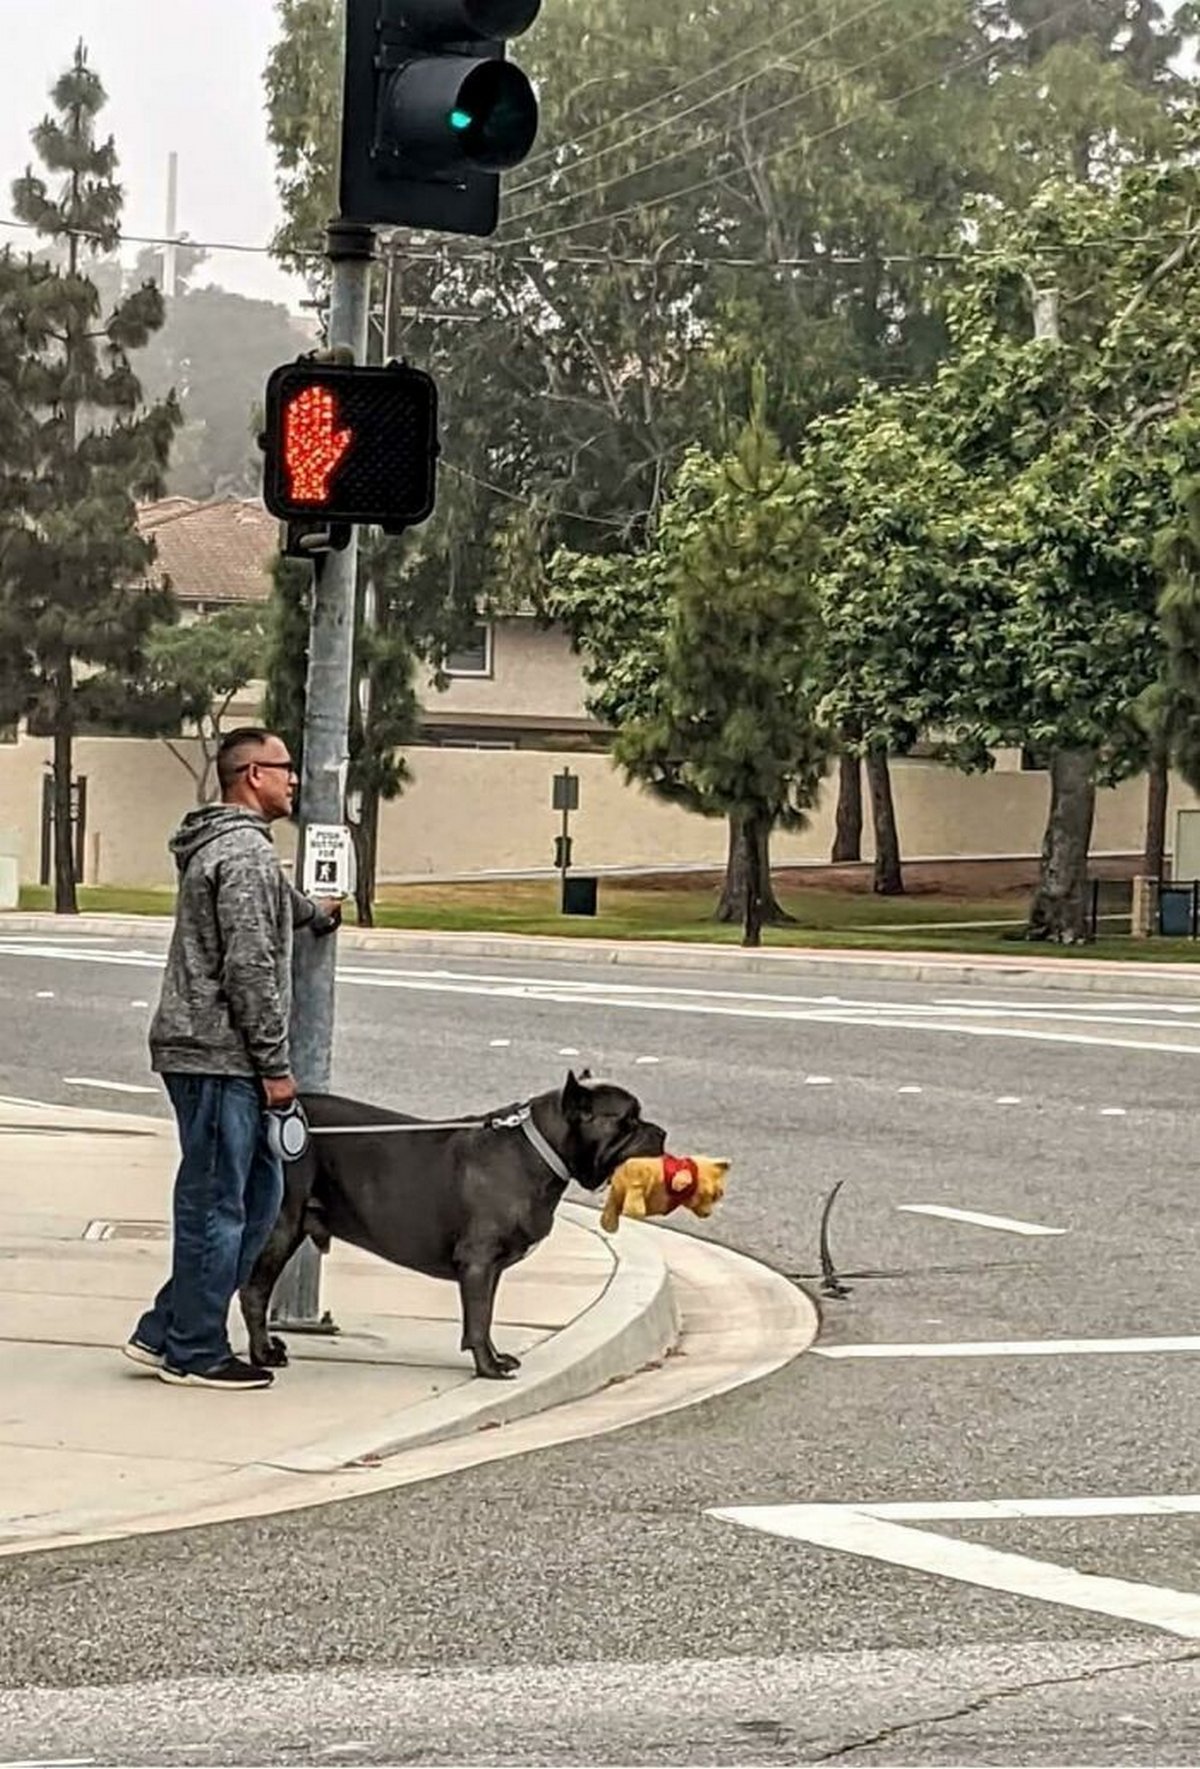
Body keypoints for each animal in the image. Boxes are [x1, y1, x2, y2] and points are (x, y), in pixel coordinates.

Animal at [237, 1068, 669, 1372]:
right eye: (628, 1121)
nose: (662, 1132)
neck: (539, 1149)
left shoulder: (490, 1269)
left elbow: (486, 1314)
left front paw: (495, 1356)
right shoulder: (478, 1261)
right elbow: (478, 1318)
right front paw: (488, 1367)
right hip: (281, 1226)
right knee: (254, 1292)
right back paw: (263, 1354)